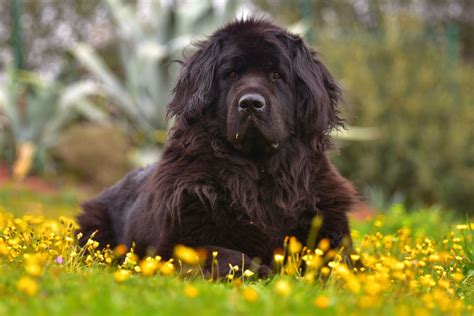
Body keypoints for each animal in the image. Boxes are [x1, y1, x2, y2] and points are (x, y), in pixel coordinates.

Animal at [78, 18, 358, 276]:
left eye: (276, 75)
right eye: (231, 74)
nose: (251, 103)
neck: (260, 172)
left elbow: (340, 261)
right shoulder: (176, 241)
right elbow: (229, 255)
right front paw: (262, 271)